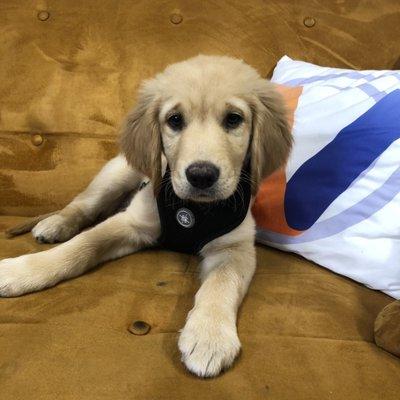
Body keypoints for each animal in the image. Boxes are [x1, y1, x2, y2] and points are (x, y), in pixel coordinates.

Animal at [0, 54, 290, 376]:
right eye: (174, 120)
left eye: (234, 119)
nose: (201, 175)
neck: (193, 209)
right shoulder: (133, 222)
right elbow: (82, 246)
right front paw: (23, 271)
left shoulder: (235, 247)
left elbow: (221, 282)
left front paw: (209, 337)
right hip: (116, 174)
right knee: (83, 205)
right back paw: (55, 224)